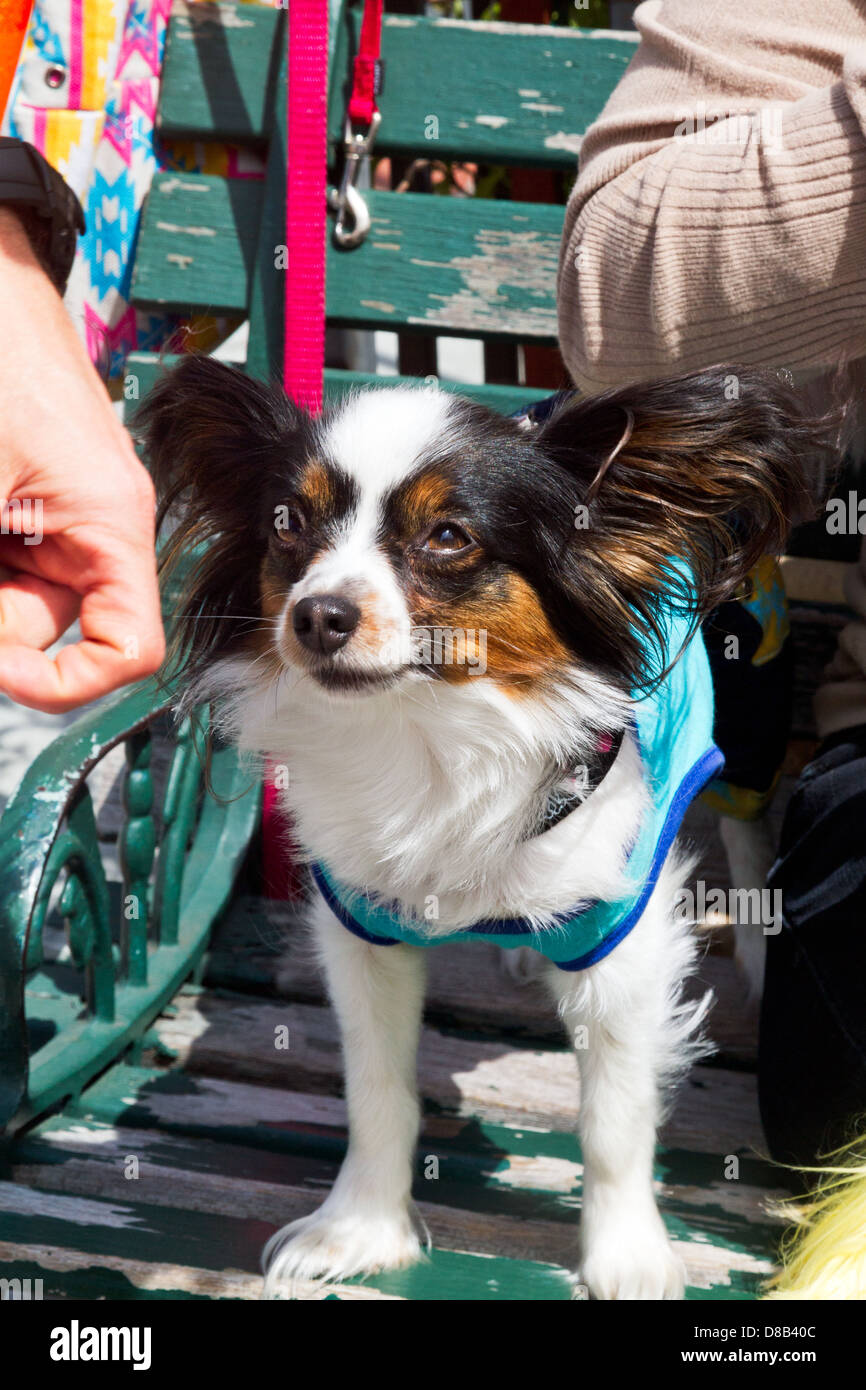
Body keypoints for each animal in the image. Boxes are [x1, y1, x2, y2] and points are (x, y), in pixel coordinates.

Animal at [139, 358, 828, 1301]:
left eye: (448, 536)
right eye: (287, 524)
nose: (318, 614)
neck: (433, 729)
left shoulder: (622, 940)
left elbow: (614, 1118)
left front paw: (626, 1255)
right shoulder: (362, 929)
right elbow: (377, 1091)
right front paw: (361, 1228)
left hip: (752, 713)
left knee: (751, 834)